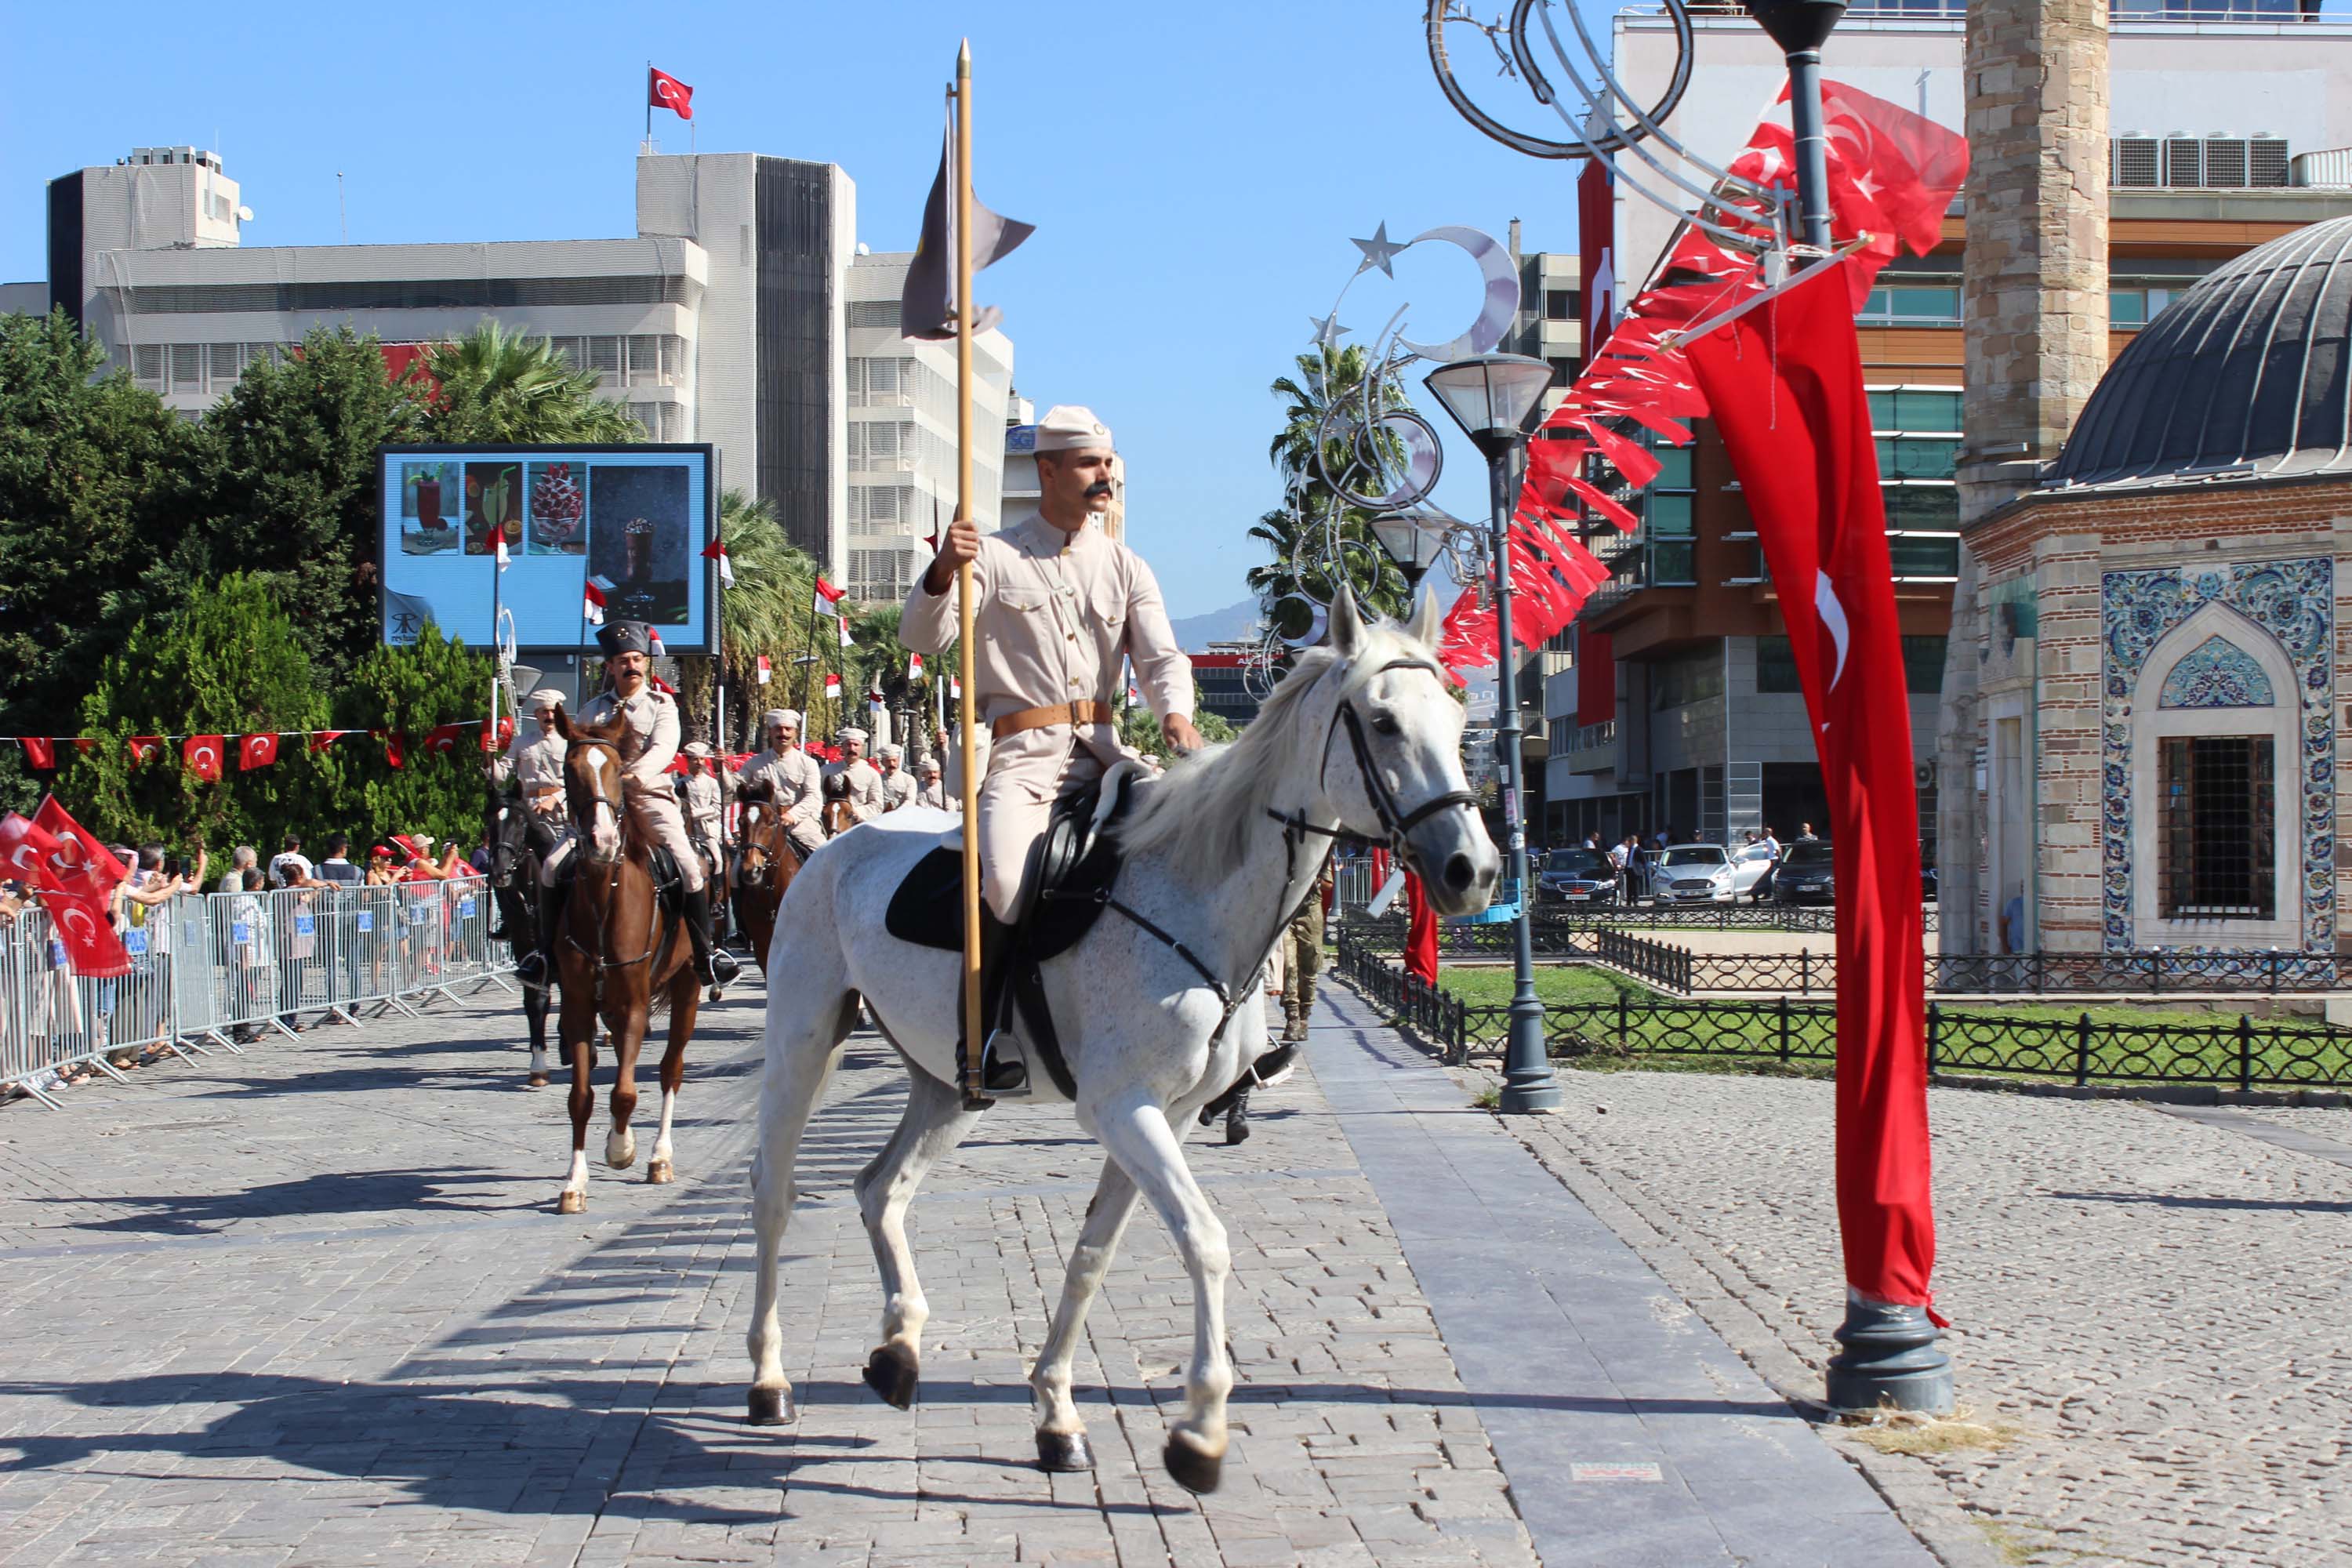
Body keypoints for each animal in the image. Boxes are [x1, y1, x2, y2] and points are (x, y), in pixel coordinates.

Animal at [555, 710, 701, 1213]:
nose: (600, 840)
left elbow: (623, 1093)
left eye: (619, 771)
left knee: (670, 1070)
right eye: (570, 771)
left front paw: (622, 1150)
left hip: (688, 988)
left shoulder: (637, 1005)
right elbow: (582, 1096)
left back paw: (659, 1156)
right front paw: (574, 1183)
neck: (605, 899)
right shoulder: (578, 1008)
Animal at [743, 592, 1496, 1495]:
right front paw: (1199, 1429)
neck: (1189, 891)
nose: (1472, 870)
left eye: (1454, 717)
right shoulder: (1122, 1108)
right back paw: (769, 1379)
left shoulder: (1165, 1117)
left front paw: (1057, 1413)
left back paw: (898, 1348)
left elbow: (1094, 1252)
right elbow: (1204, 1241)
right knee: (776, 1194)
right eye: (1382, 722)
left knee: (879, 1189)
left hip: (947, 1084)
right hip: (801, 1039)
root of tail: (834, 849)